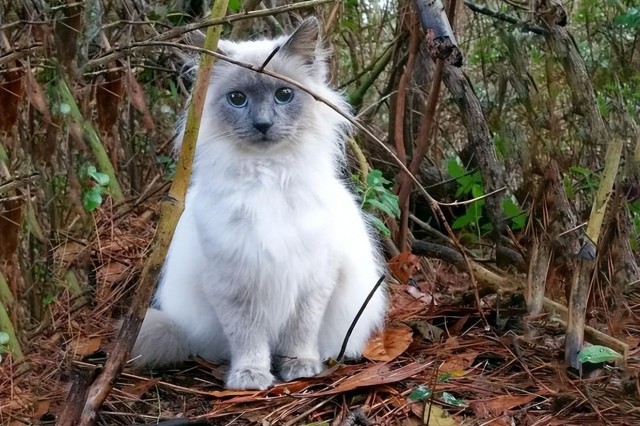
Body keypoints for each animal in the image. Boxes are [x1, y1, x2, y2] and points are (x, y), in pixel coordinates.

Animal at [132, 17, 388, 390]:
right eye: (237, 99)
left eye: (284, 95)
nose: (263, 124)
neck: (267, 178)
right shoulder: (232, 283)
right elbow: (248, 339)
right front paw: (251, 377)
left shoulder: (313, 279)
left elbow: (300, 333)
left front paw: (300, 367)